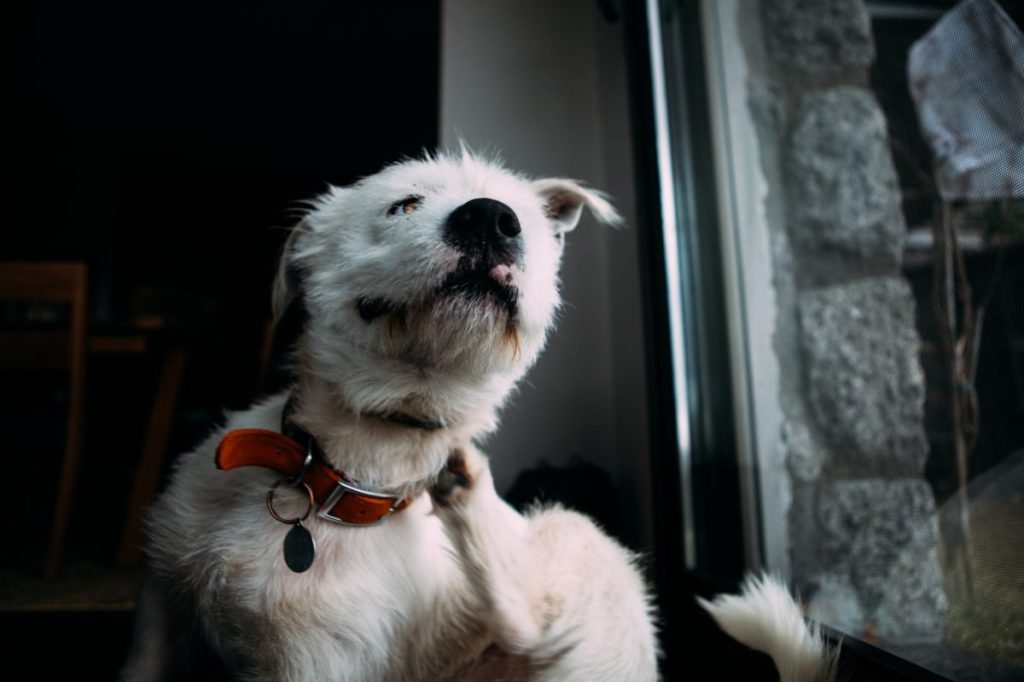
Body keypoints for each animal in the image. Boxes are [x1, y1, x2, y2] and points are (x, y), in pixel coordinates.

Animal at [123, 150, 835, 679]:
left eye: (518, 220)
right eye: (404, 204)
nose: (493, 221)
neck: (342, 479)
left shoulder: (313, 670)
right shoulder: (159, 612)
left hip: (581, 544)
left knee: (530, 615)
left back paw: (472, 499)